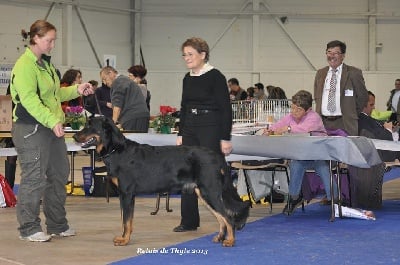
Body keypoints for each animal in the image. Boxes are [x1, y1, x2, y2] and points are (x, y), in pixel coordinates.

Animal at [73, 116, 248, 246]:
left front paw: (125, 240)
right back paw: (220, 237)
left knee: (228, 217)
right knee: (221, 217)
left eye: (89, 126)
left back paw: (230, 241)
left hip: (210, 191)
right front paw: (123, 237)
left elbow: (127, 221)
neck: (117, 150)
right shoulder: (125, 195)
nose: (74, 136)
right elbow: (125, 220)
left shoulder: (127, 194)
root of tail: (217, 157)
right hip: (204, 192)